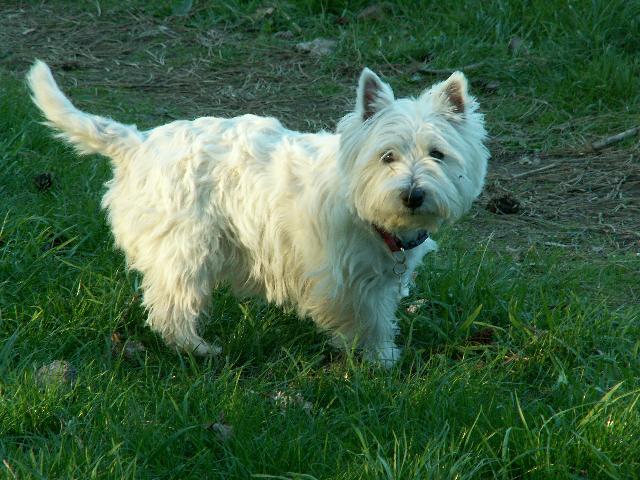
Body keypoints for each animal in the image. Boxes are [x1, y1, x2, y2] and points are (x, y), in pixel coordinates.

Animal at [23, 61, 484, 368]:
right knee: (171, 309)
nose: (412, 195)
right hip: (187, 248)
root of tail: (139, 143)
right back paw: (200, 350)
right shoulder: (341, 275)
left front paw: (382, 355)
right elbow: (363, 318)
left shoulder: (380, 275)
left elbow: (379, 313)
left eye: (438, 154)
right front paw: (379, 361)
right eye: (387, 156)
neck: (365, 209)